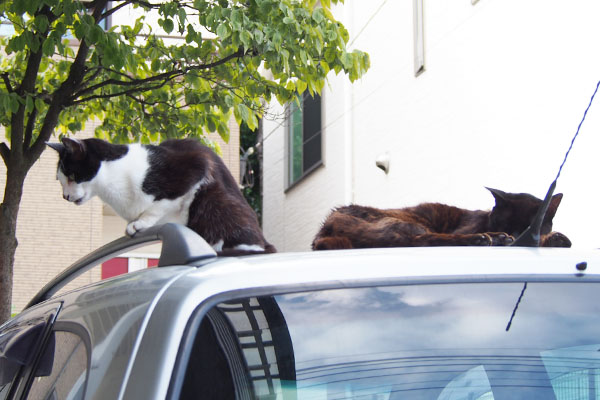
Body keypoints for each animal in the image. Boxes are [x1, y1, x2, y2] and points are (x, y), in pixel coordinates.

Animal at [48, 138, 276, 253]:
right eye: (60, 180)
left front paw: (139, 223)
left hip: (218, 203)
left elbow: (161, 203)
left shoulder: (194, 167)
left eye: (72, 176)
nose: (64, 196)